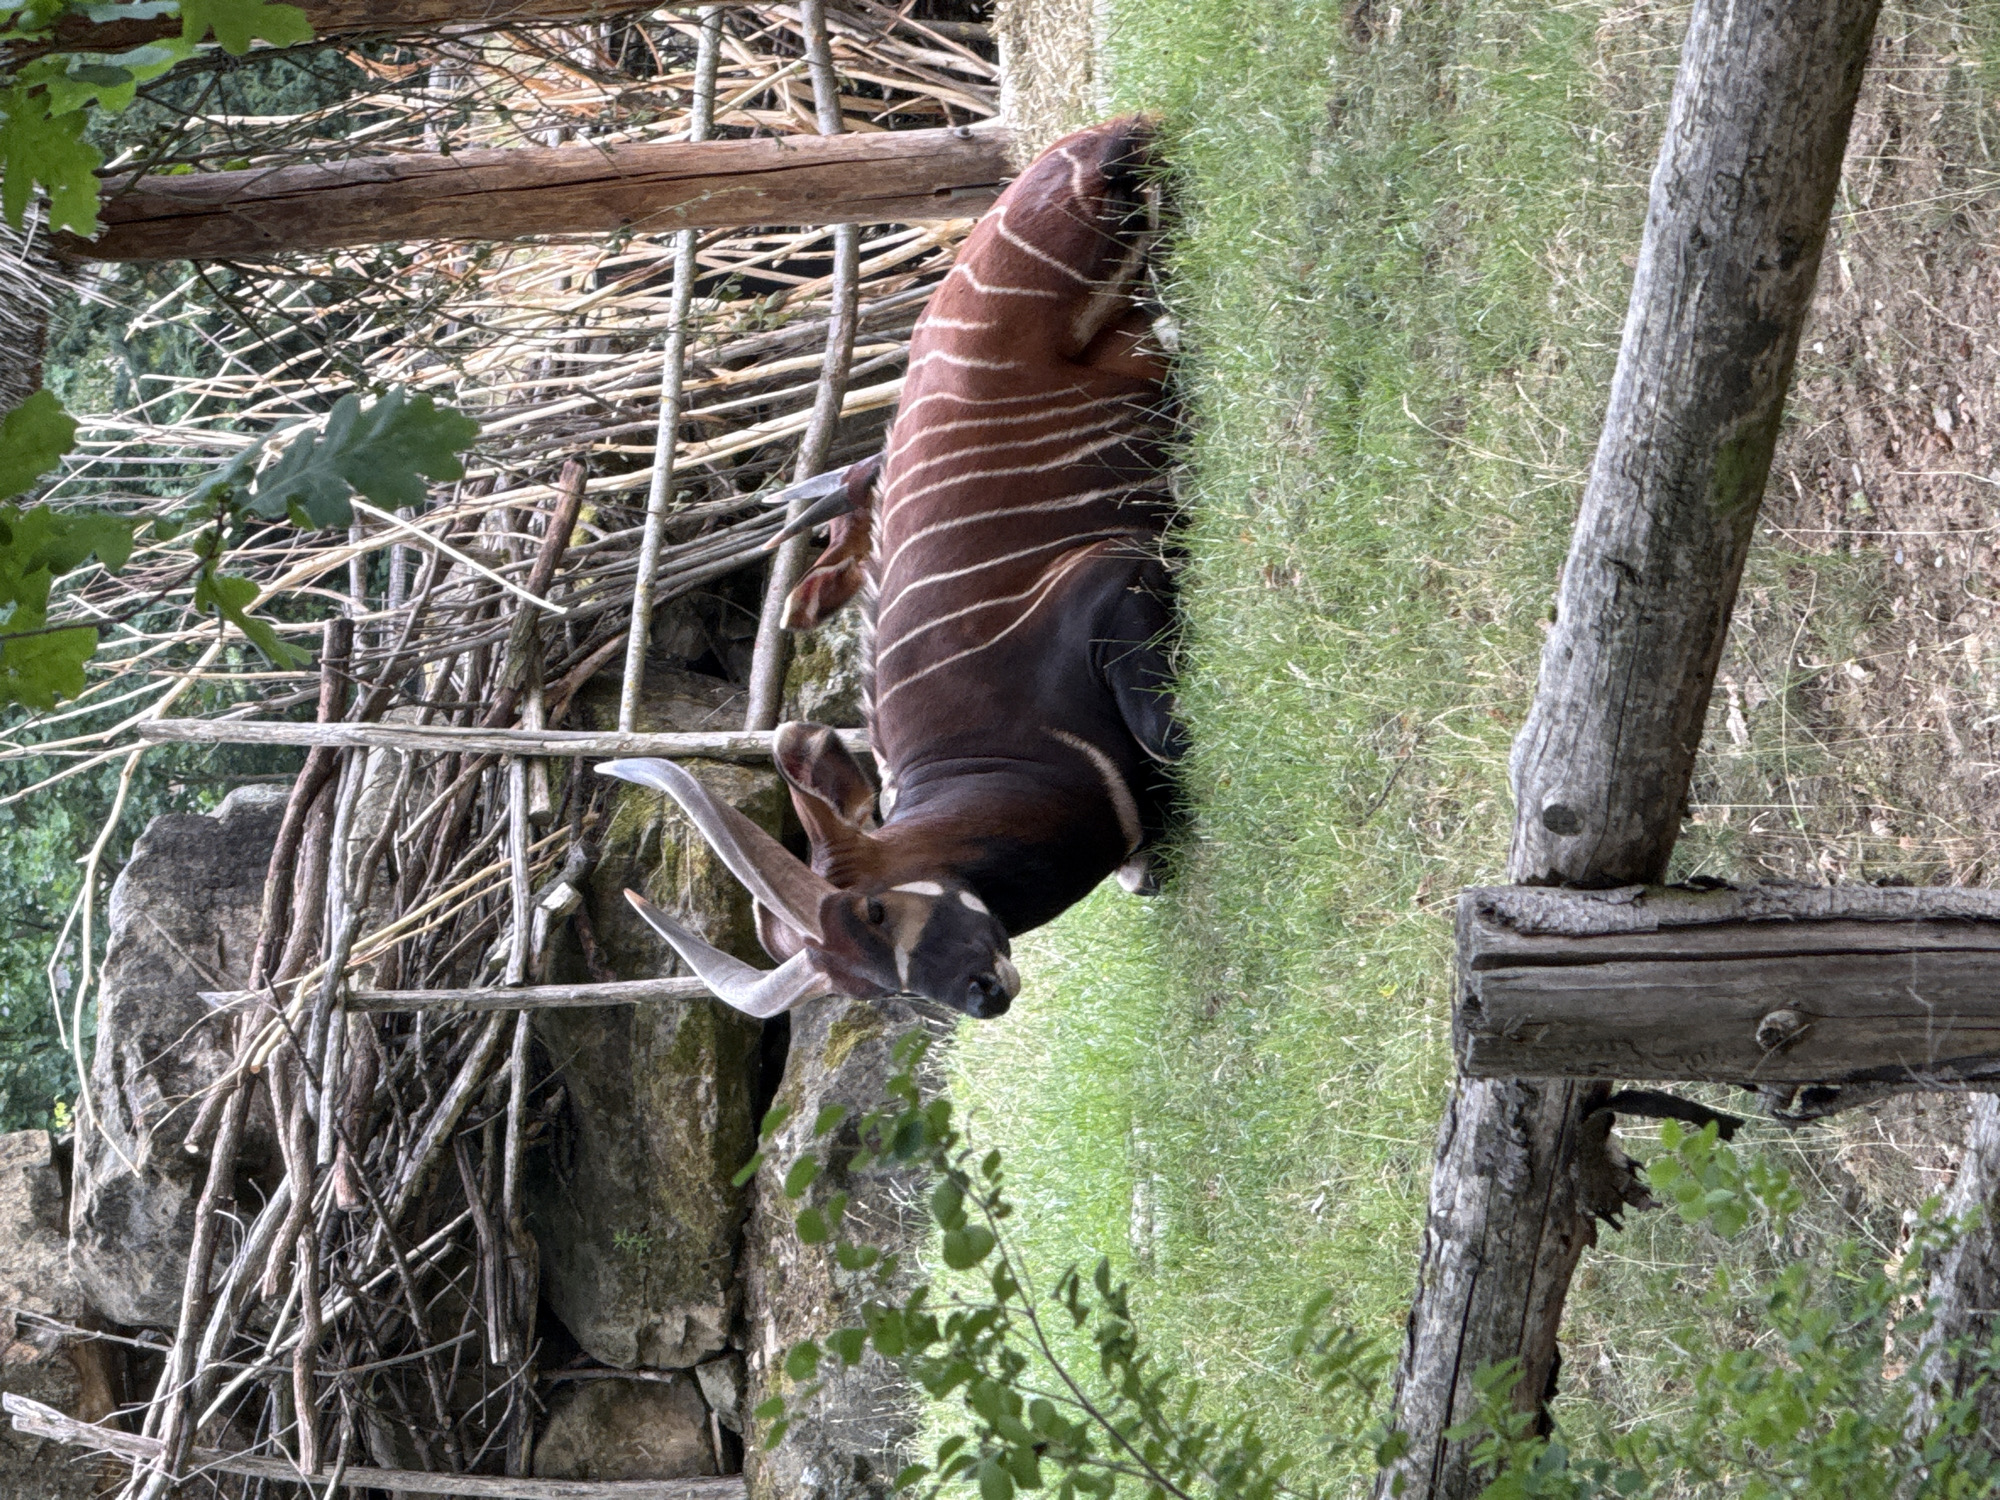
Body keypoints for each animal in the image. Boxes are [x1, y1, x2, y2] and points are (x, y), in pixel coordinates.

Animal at [601, 116, 1179, 1020]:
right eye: (869, 993)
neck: (1006, 750)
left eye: (873, 911)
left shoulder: (1113, 581)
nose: (982, 993)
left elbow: (1169, 736)